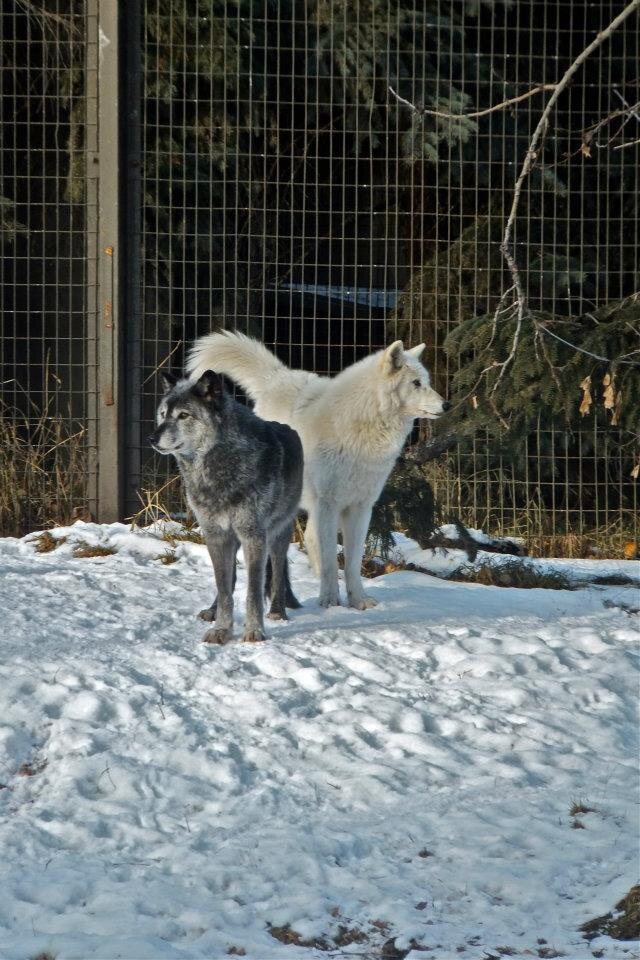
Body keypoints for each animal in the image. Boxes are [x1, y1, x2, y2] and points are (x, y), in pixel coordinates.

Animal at [149, 369, 303, 644]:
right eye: (163, 414)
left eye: (183, 415)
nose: (152, 438)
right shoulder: (215, 534)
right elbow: (223, 588)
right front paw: (221, 628)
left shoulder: (254, 535)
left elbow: (254, 590)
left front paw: (255, 631)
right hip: (231, 538)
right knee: (229, 579)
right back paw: (212, 610)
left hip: (278, 533)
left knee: (277, 569)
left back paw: (278, 611)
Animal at [187, 333, 449, 610]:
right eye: (416, 383)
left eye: (427, 382)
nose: (447, 404)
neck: (363, 428)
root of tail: (277, 376)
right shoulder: (328, 504)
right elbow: (330, 560)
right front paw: (331, 601)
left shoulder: (361, 507)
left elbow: (353, 562)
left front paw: (358, 601)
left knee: (309, 540)